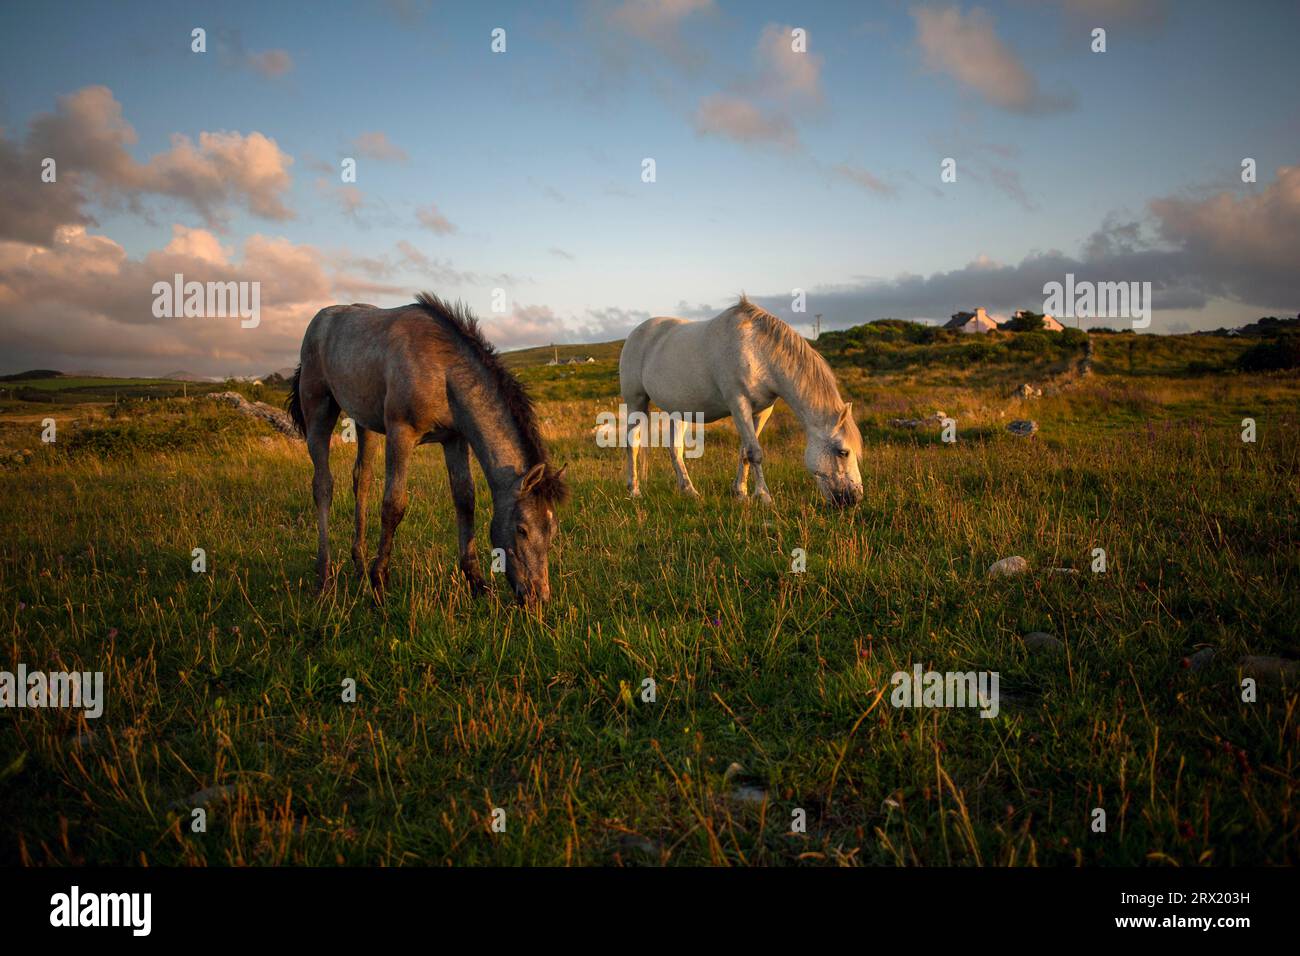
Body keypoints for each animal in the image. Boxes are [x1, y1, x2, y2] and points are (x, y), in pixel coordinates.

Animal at [289, 291, 569, 606]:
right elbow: (393, 505)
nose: (539, 598)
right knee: (323, 485)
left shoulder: (454, 439)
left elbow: (465, 500)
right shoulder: (401, 433)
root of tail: (319, 320)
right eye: (522, 529)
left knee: (361, 480)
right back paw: (324, 577)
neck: (442, 372)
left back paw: (359, 566)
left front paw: (476, 582)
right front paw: (380, 581)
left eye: (552, 531)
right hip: (318, 410)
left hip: (363, 422)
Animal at [618, 297, 863, 509]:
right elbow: (754, 452)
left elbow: (744, 451)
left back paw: (689, 491)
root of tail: (635, 334)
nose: (855, 498)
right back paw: (634, 490)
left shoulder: (762, 411)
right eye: (843, 452)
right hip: (636, 402)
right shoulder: (738, 404)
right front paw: (764, 496)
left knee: (675, 449)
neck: (757, 351)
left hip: (678, 412)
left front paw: (741, 493)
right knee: (633, 444)